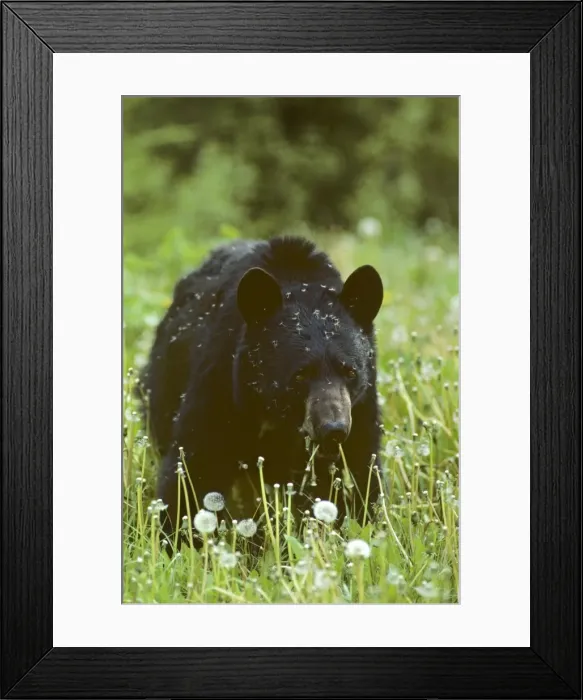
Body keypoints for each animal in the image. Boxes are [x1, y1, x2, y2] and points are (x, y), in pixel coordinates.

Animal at [140, 236, 384, 535]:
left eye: (350, 371)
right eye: (300, 375)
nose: (333, 429)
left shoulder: (361, 405)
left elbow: (363, 468)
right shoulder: (221, 377)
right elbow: (195, 460)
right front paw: (176, 533)